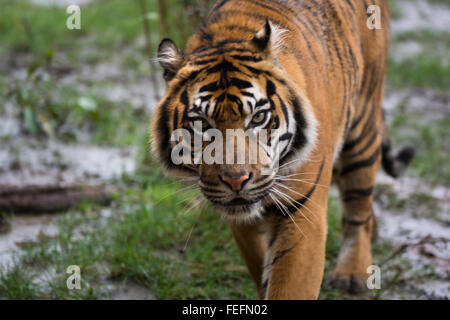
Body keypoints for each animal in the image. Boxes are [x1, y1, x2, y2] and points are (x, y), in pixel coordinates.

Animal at [150, 0, 414, 300]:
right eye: (202, 124)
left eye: (257, 118)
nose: (236, 181)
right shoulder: (241, 218)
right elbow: (259, 262)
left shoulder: (303, 210)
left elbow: (291, 284)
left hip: (362, 127)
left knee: (358, 205)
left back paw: (352, 273)